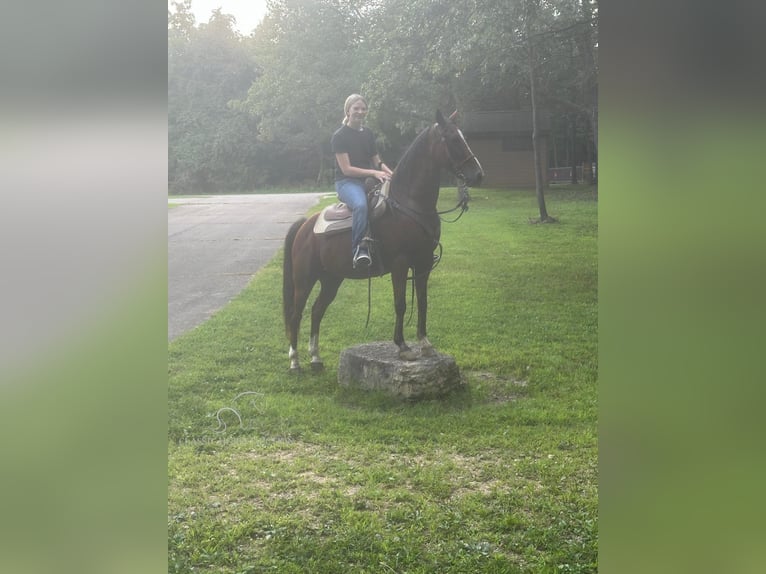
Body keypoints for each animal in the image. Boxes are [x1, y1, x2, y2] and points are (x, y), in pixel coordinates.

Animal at [282, 111, 486, 374]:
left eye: (464, 137)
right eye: (452, 139)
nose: (478, 174)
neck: (410, 203)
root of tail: (305, 226)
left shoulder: (423, 264)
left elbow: (423, 302)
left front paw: (425, 343)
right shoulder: (400, 264)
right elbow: (400, 304)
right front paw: (403, 347)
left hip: (331, 279)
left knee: (317, 311)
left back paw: (315, 358)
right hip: (304, 279)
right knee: (296, 314)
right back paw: (295, 362)